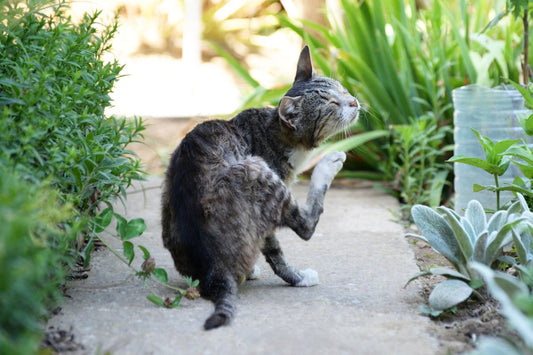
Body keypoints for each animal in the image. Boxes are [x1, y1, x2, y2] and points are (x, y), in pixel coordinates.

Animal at [162, 46, 360, 330]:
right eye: (331, 104)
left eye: (342, 89)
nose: (354, 101)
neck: (276, 132)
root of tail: (212, 272)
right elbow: (276, 251)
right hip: (256, 170)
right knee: (306, 226)